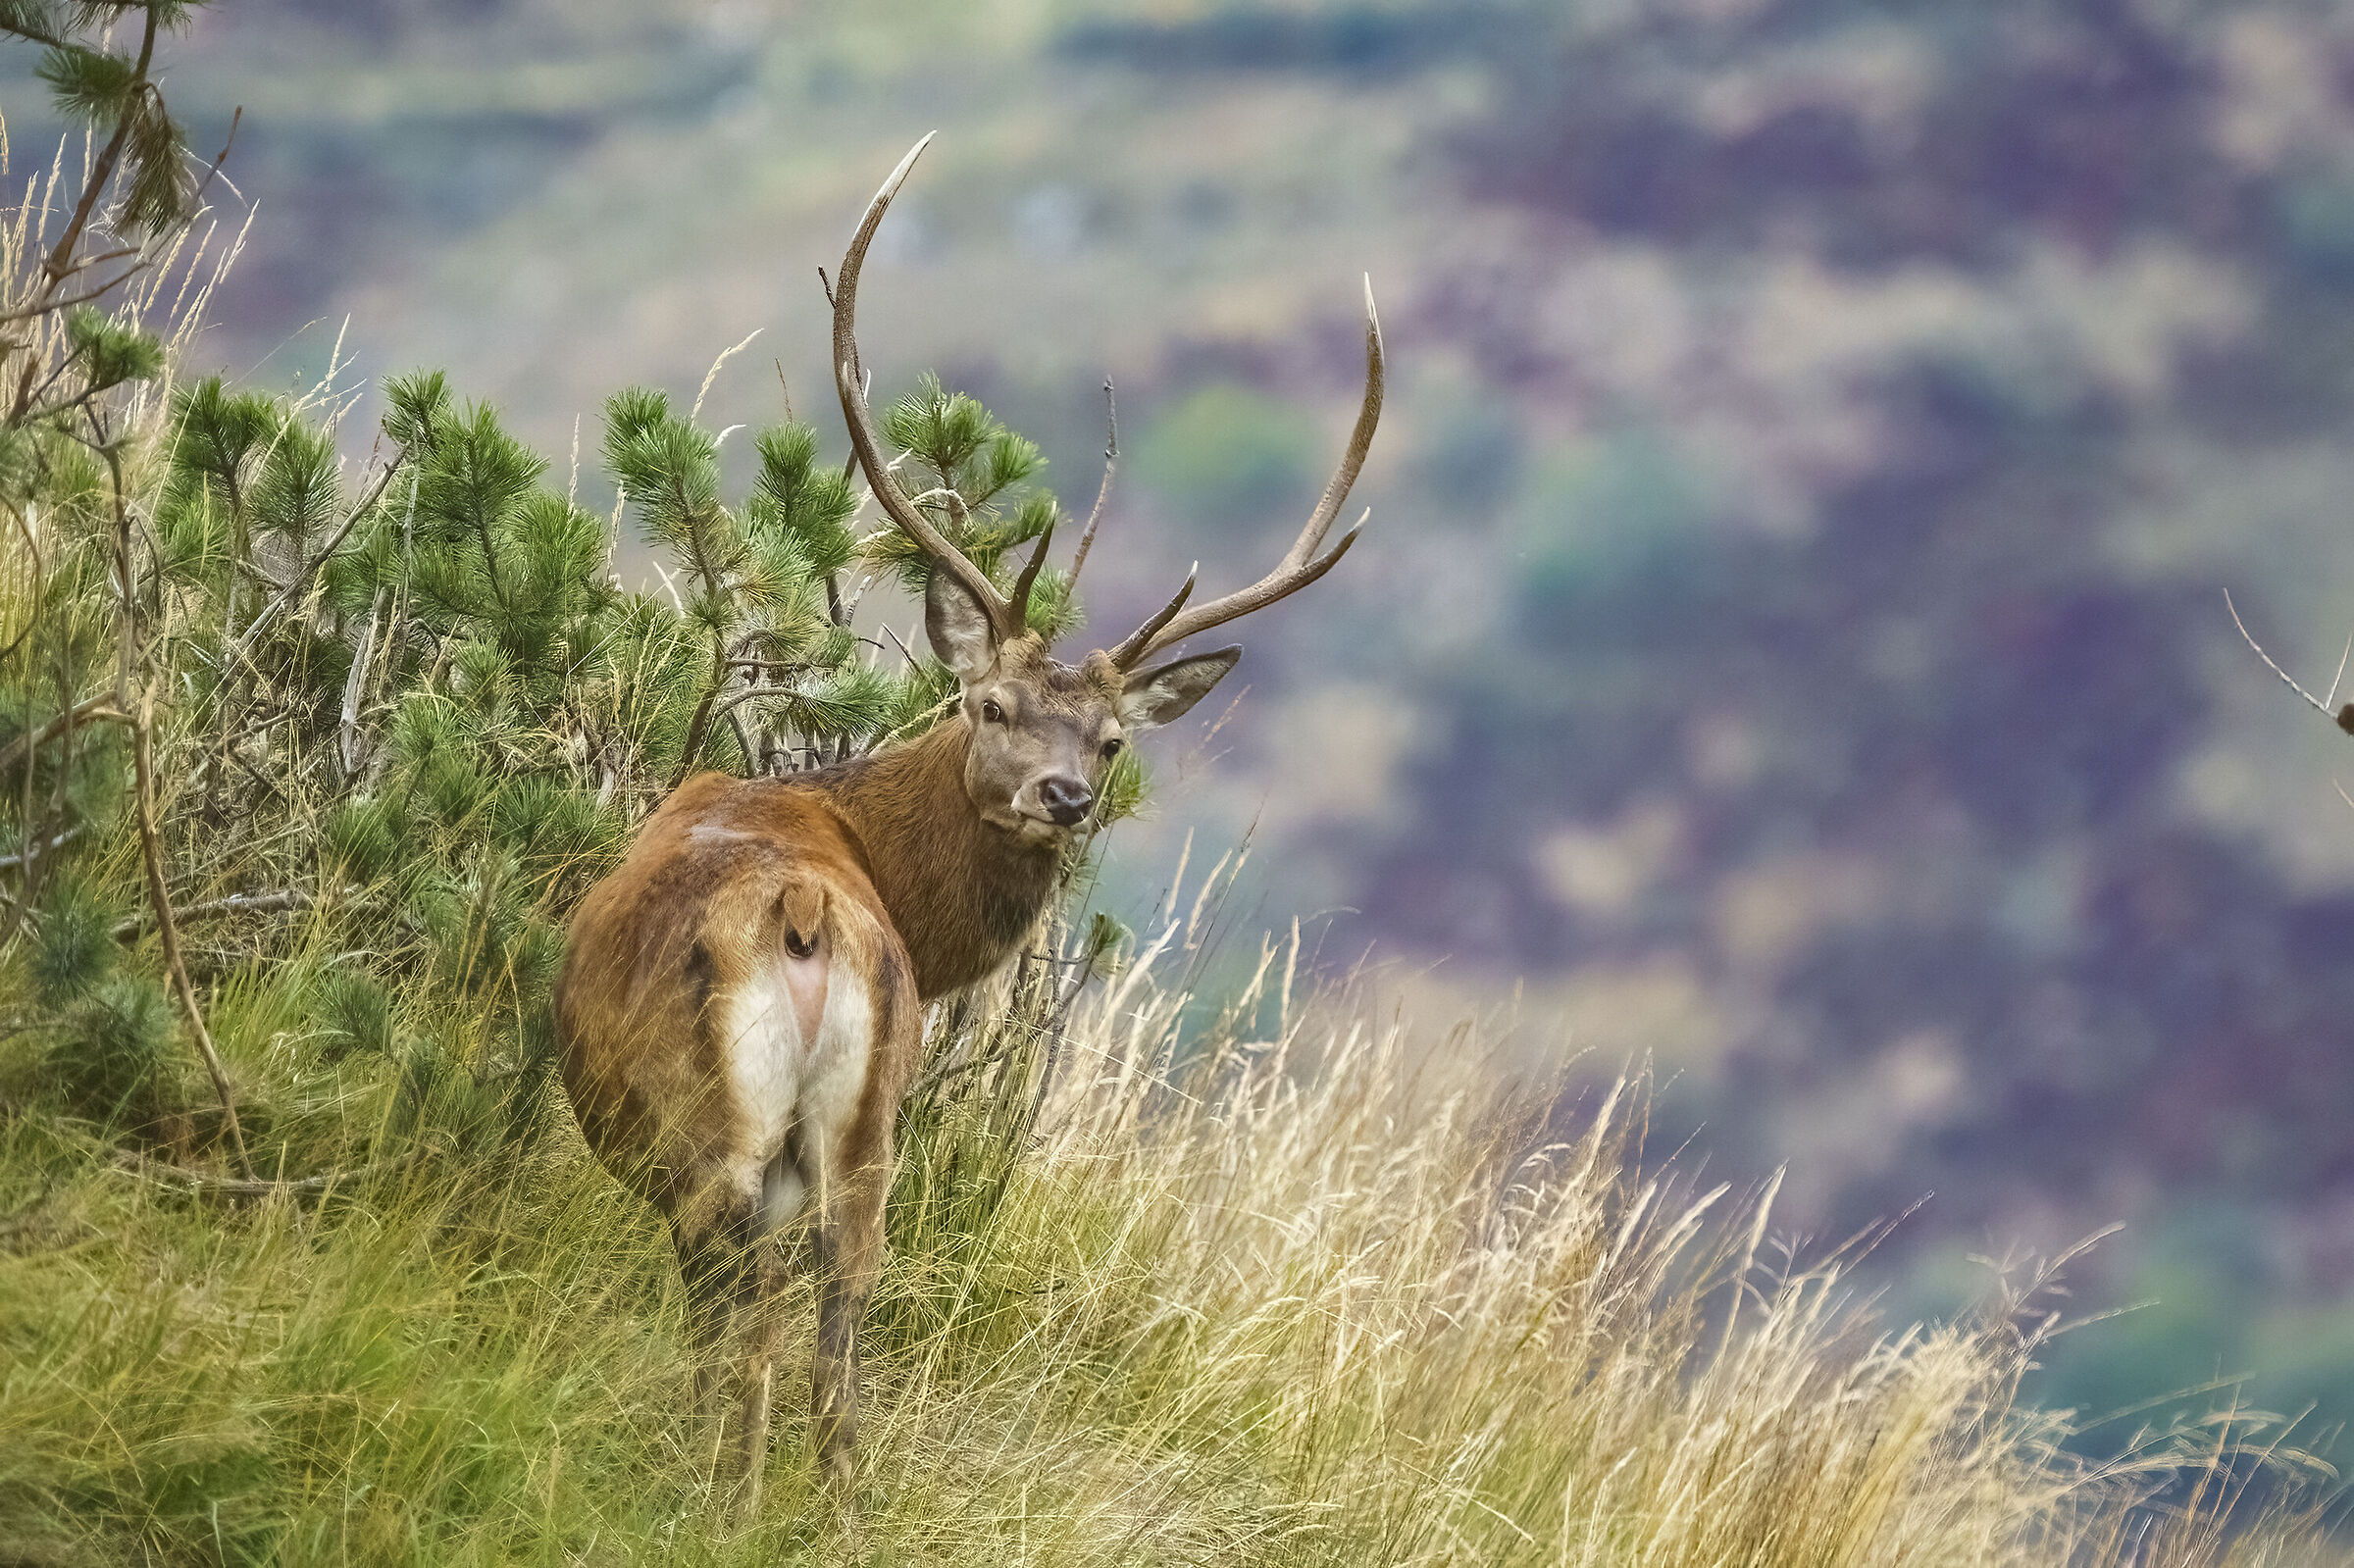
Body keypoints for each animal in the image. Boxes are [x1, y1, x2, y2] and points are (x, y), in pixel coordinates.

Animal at [552, 133, 1383, 1513]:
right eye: (992, 704)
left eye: (1111, 740)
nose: (1068, 795)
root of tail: (801, 913)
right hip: (868, 1139)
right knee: (842, 1326)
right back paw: (834, 1503)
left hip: (719, 1144)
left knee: (750, 1323)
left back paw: (724, 1494)